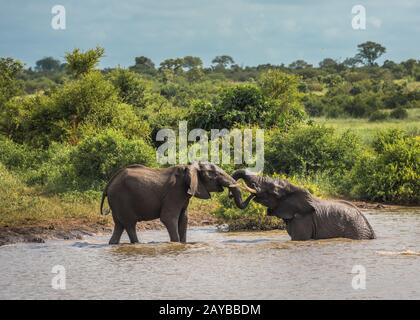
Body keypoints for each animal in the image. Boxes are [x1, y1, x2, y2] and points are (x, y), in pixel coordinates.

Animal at [100, 161, 253, 244]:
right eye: (215, 175)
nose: (253, 193)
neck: (189, 167)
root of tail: (109, 184)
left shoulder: (184, 194)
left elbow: (183, 219)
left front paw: (183, 244)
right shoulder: (174, 192)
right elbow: (169, 218)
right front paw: (176, 243)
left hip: (117, 201)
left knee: (119, 225)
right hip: (121, 198)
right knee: (130, 224)